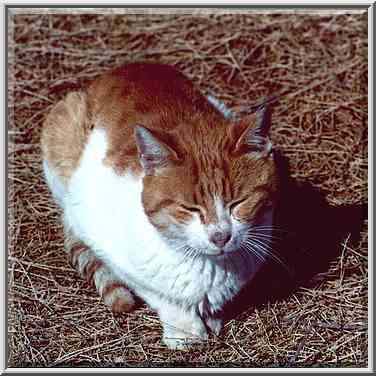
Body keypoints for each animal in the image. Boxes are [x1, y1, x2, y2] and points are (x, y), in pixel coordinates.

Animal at [41, 62, 280, 350]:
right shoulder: (94, 228)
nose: (220, 236)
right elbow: (159, 295)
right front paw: (186, 330)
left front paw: (211, 316)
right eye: (190, 209)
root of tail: (129, 67)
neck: (208, 265)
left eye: (238, 202)